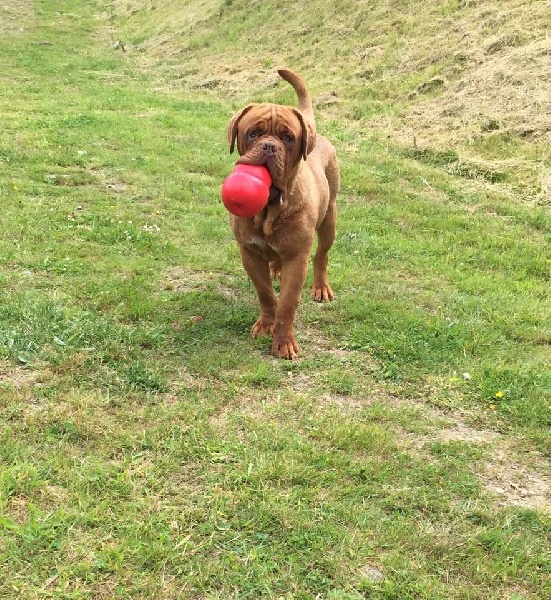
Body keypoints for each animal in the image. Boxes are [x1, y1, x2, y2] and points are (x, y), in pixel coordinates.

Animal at [226, 70, 338, 360]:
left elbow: (287, 303)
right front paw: (267, 323)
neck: (269, 209)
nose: (269, 147)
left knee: (321, 255)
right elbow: (266, 293)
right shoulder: (249, 253)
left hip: (330, 219)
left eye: (288, 138)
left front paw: (284, 341)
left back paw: (321, 287)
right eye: (253, 133)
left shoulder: (297, 258)